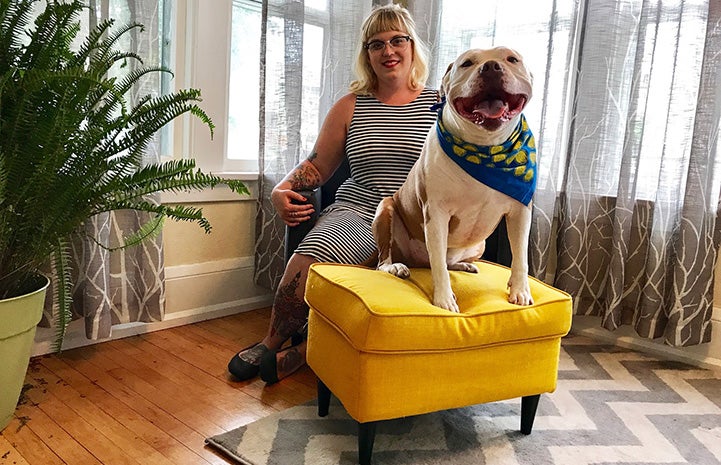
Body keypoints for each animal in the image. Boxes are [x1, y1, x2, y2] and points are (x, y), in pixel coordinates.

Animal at [372, 47, 536, 312]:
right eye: (467, 63)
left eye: (512, 59)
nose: (491, 67)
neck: (485, 150)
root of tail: (416, 261)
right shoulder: (436, 214)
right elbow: (438, 265)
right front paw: (444, 300)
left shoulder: (521, 212)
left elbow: (520, 256)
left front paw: (520, 290)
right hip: (385, 210)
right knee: (386, 260)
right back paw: (395, 266)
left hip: (480, 244)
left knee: (448, 262)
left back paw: (464, 264)